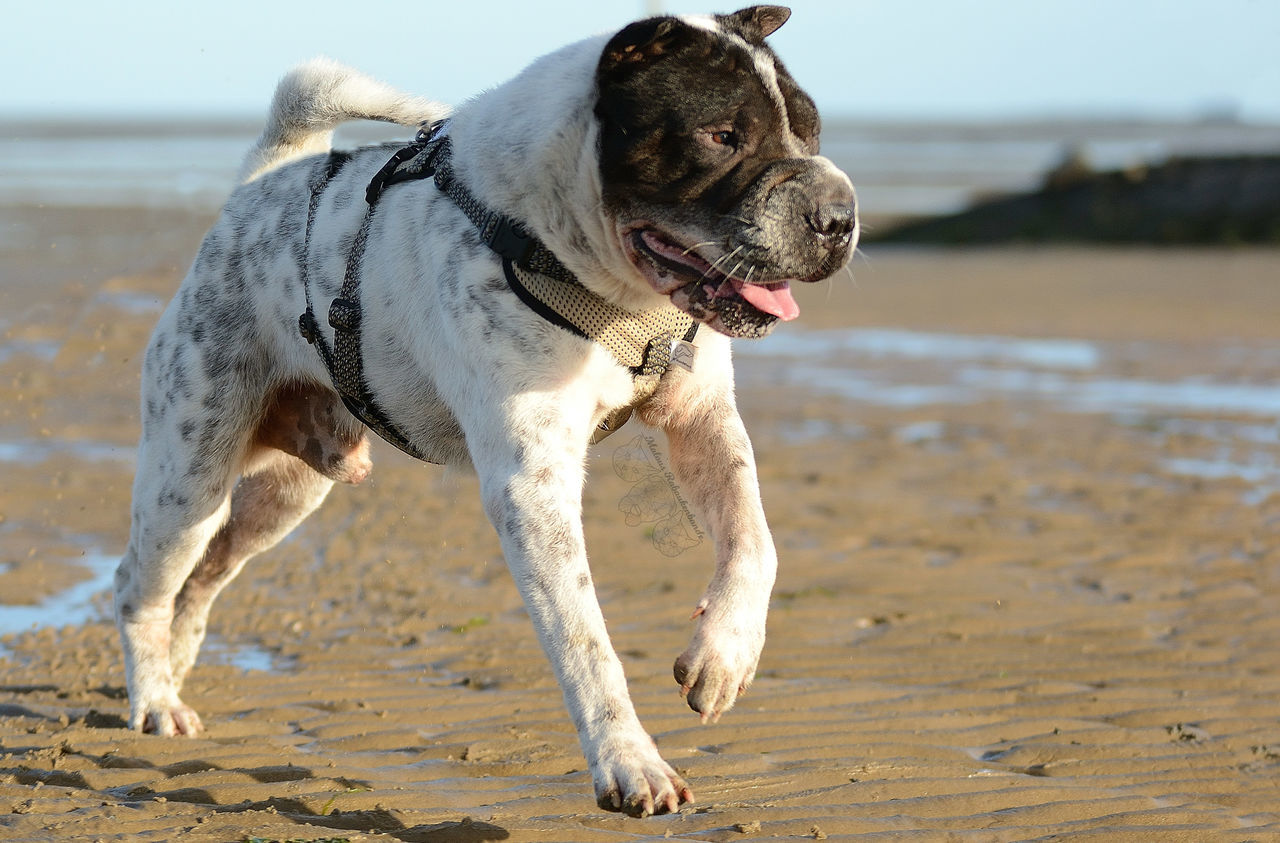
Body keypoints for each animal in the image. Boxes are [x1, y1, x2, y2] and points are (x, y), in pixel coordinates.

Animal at [110, 4, 849, 818]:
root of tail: (261, 183)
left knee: (203, 578)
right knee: (141, 584)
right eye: (721, 136)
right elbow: (587, 642)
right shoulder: (534, 486)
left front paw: (724, 654)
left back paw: (178, 669)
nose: (840, 216)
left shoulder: (701, 419)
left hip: (286, 494)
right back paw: (155, 700)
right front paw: (630, 763)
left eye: (812, 133)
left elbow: (755, 539)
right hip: (190, 479)